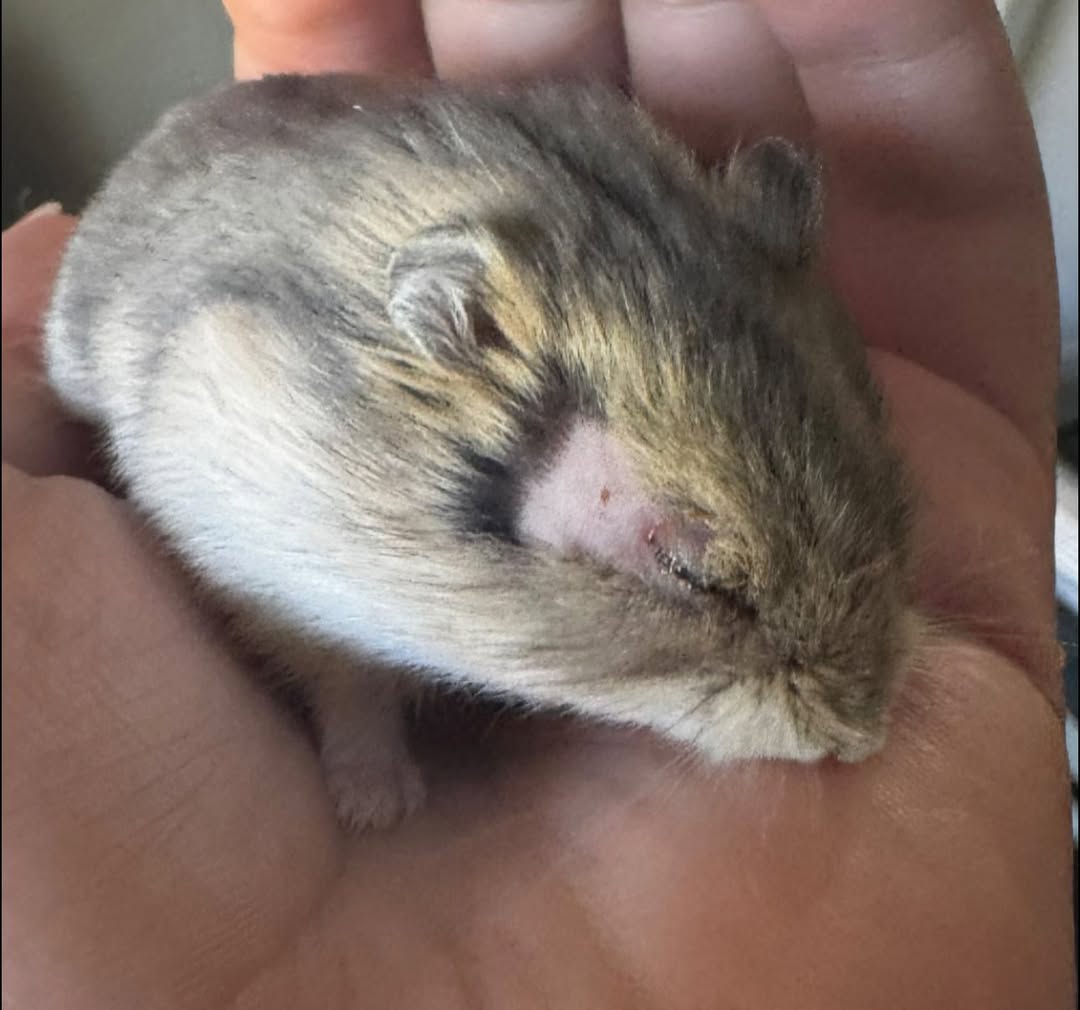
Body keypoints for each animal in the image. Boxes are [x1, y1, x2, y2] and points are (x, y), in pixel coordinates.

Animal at [44, 73, 915, 831]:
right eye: (693, 573)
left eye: (895, 497)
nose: (861, 739)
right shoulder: (282, 588)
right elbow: (352, 695)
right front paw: (380, 811)